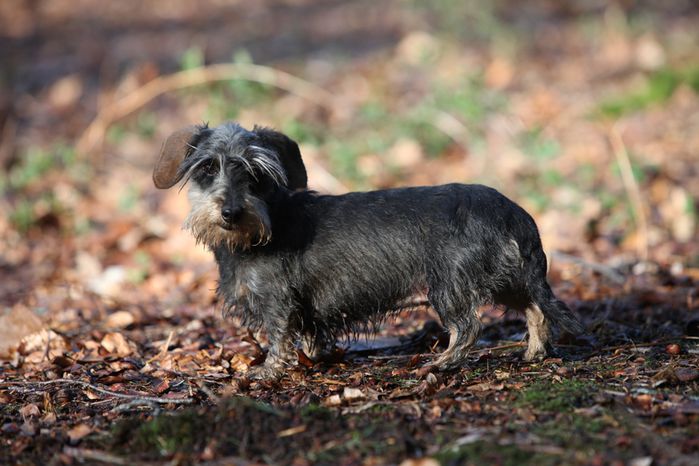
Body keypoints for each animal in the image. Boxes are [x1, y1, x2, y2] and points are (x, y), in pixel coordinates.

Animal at [154, 123, 584, 378]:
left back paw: (442, 362)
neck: (260, 229)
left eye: (256, 173)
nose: (230, 212)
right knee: (535, 309)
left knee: (468, 327)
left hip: (450, 284)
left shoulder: (278, 303)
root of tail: (514, 214)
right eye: (207, 168)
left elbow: (279, 339)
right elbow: (309, 338)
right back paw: (533, 352)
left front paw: (268, 372)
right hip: (507, 277)